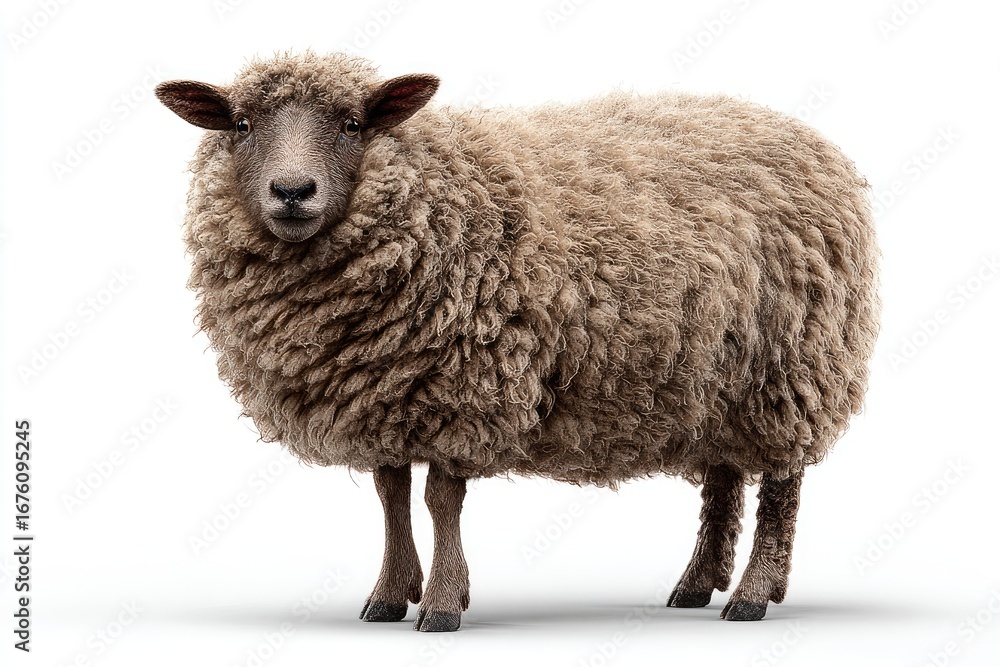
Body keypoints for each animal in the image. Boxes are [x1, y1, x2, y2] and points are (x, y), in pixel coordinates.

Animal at [155, 51, 879, 632]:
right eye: (241, 124)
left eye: (354, 123)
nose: (292, 191)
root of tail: (808, 139)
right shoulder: (385, 394)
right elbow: (391, 495)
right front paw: (388, 596)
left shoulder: (459, 388)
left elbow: (440, 500)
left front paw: (442, 604)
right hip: (715, 378)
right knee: (724, 478)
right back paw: (696, 584)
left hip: (789, 369)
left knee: (781, 487)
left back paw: (752, 594)